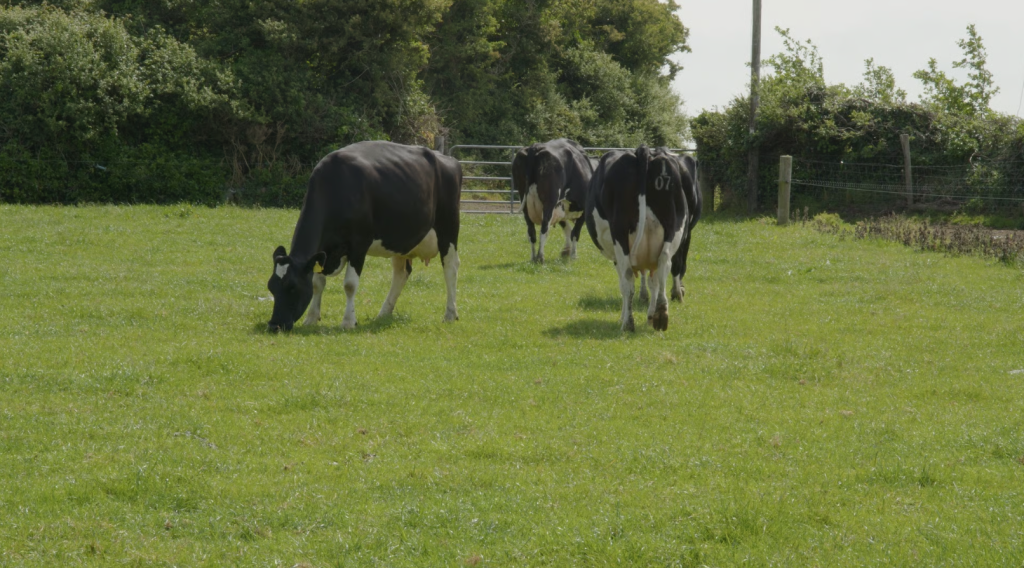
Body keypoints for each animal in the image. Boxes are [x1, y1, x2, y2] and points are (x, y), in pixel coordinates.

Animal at [266, 141, 462, 333]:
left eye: (292, 287)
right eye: (270, 287)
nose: (274, 325)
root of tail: (447, 158)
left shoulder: (359, 244)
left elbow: (350, 284)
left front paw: (348, 321)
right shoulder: (324, 252)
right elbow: (317, 283)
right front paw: (312, 318)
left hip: (448, 228)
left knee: (450, 267)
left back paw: (450, 314)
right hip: (400, 240)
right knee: (401, 273)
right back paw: (384, 313)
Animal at [585, 145, 696, 331]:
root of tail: (644, 151)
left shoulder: (617, 255)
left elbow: (624, 284)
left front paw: (624, 317)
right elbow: (654, 282)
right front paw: (651, 316)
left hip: (620, 234)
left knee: (628, 278)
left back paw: (628, 324)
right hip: (674, 227)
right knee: (665, 263)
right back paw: (661, 314)